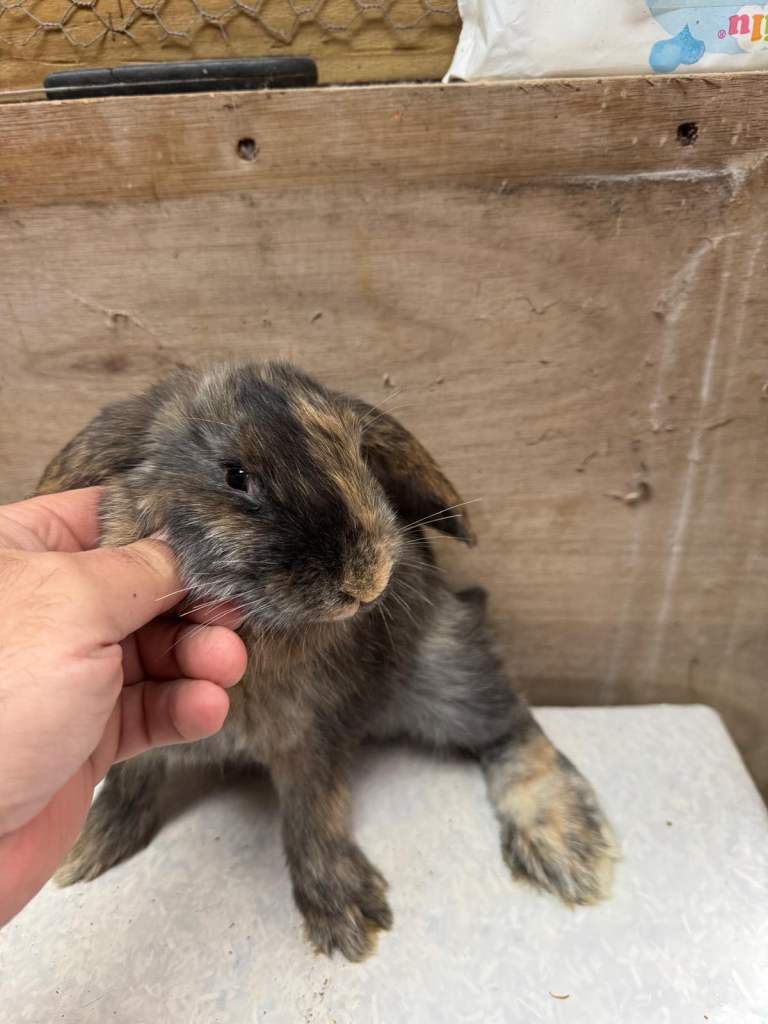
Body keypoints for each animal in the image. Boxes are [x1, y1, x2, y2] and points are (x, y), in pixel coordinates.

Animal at [38, 361, 618, 962]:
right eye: (235, 476)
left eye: (358, 456)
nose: (368, 579)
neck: (261, 637)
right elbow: (128, 779)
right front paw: (86, 850)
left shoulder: (313, 735)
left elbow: (313, 814)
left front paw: (345, 915)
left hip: (449, 674)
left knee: (516, 727)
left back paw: (564, 845)